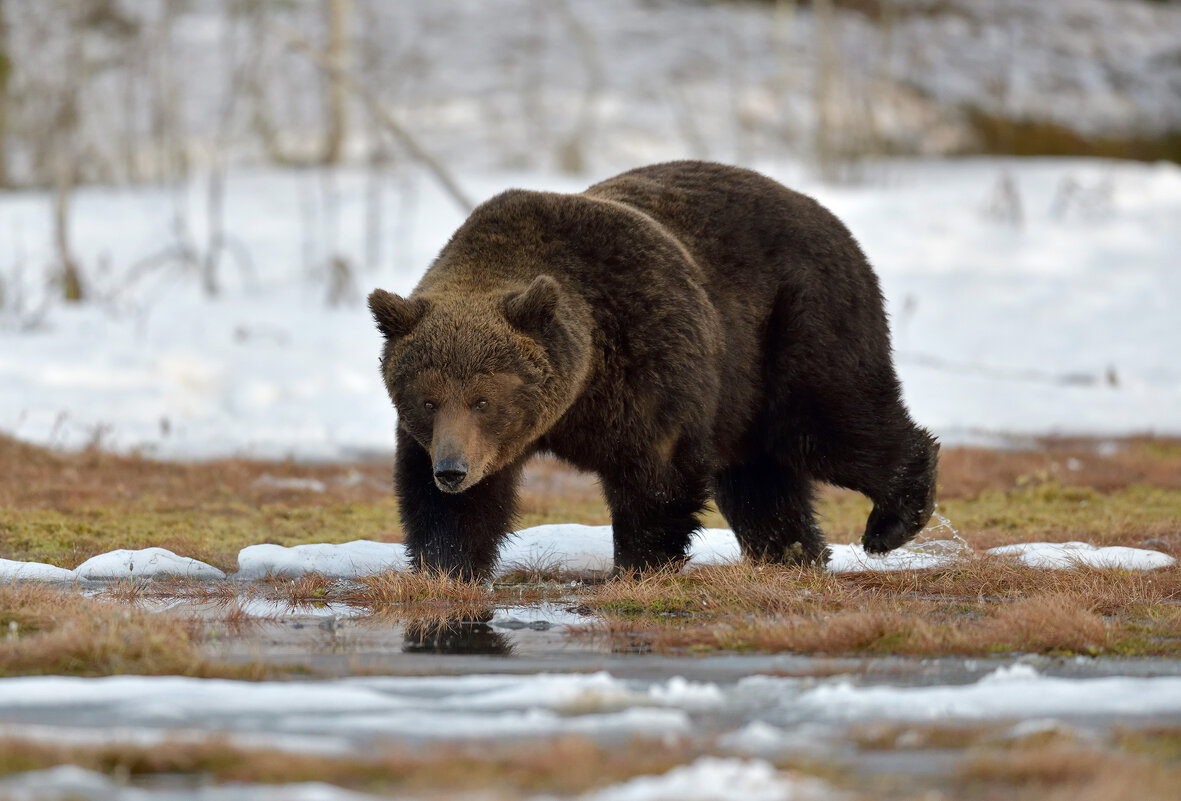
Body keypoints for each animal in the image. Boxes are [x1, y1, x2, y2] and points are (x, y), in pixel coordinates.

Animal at [368, 161, 940, 576]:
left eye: (483, 400)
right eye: (427, 399)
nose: (453, 470)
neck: (579, 388)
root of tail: (825, 213)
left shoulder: (646, 353)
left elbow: (655, 473)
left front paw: (637, 565)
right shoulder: (450, 439)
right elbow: (446, 507)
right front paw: (448, 566)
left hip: (794, 324)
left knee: (828, 422)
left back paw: (890, 523)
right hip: (741, 391)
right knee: (758, 476)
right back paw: (793, 553)